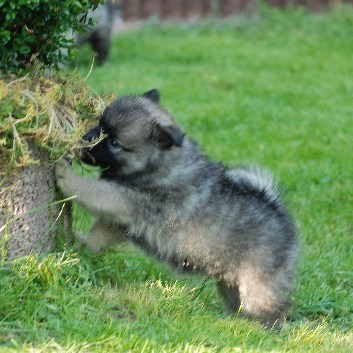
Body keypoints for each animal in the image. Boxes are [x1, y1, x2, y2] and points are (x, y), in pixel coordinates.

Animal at [55, 88, 296, 328]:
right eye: (99, 125)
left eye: (114, 142)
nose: (82, 142)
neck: (160, 162)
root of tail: (279, 214)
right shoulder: (124, 219)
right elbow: (100, 234)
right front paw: (81, 246)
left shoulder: (124, 199)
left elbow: (91, 190)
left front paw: (65, 175)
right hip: (229, 280)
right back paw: (237, 322)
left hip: (257, 282)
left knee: (272, 308)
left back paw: (259, 329)